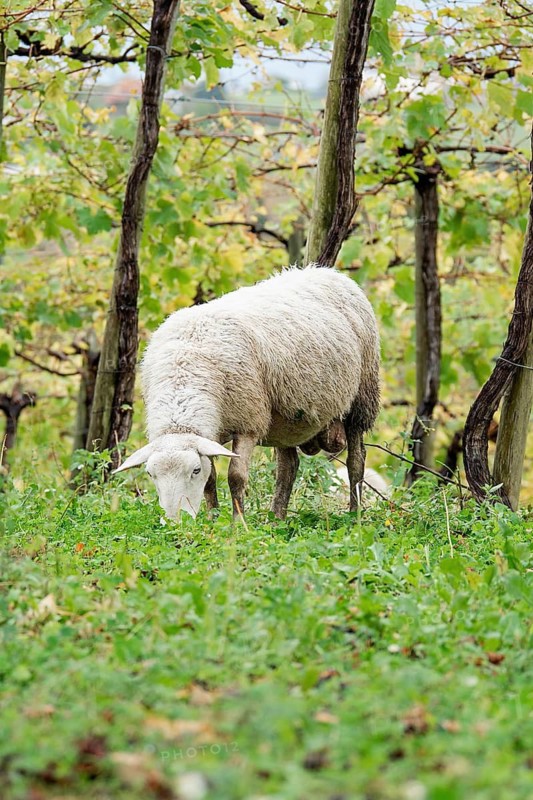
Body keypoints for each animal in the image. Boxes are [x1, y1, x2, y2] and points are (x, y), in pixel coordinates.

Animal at [114, 265, 380, 520]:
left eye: (194, 470)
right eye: (151, 474)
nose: (173, 520)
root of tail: (326, 271)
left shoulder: (248, 423)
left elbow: (236, 477)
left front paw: (238, 525)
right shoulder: (211, 435)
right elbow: (211, 482)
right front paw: (211, 521)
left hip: (362, 399)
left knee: (356, 460)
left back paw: (354, 515)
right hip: (287, 419)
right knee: (288, 467)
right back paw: (276, 519)